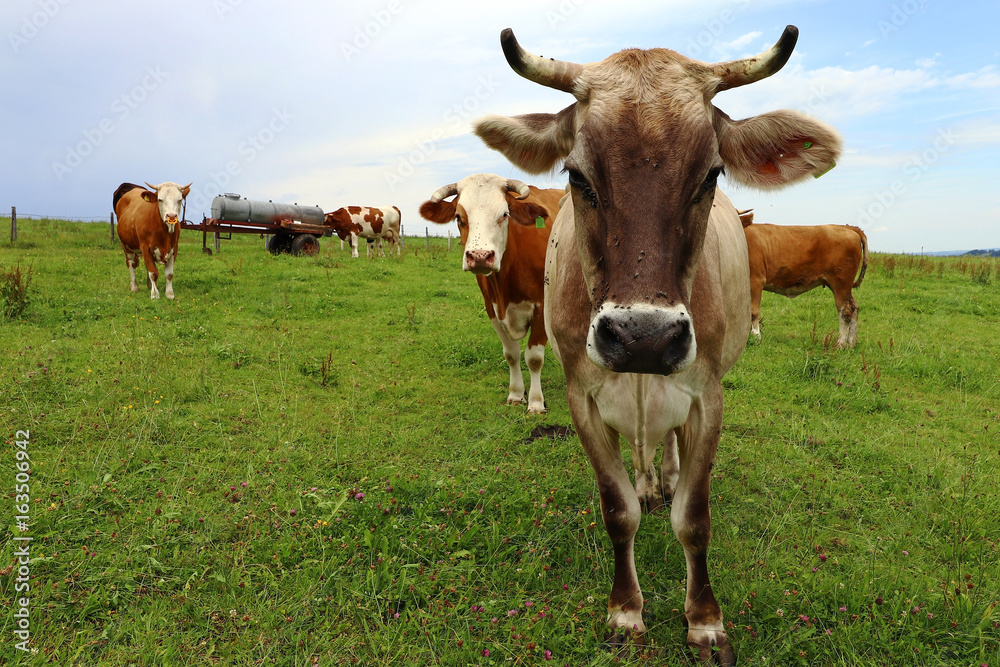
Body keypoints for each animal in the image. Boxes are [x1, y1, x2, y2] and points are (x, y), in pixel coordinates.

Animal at [418, 172, 568, 412]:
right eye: (459, 217)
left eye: (505, 214)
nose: (480, 256)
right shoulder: (492, 308)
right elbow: (512, 354)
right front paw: (516, 394)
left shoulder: (542, 307)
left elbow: (534, 358)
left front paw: (536, 403)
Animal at [472, 24, 840, 664]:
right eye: (577, 176)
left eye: (711, 175)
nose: (643, 338)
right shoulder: (581, 397)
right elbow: (617, 509)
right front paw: (625, 611)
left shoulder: (707, 398)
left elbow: (693, 518)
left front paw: (705, 621)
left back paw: (662, 479)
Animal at [744, 219, 868, 350]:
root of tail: (848, 228)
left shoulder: (756, 279)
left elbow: (753, 311)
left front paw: (755, 339)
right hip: (840, 285)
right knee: (854, 306)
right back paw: (852, 343)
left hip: (841, 283)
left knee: (845, 310)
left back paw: (840, 345)